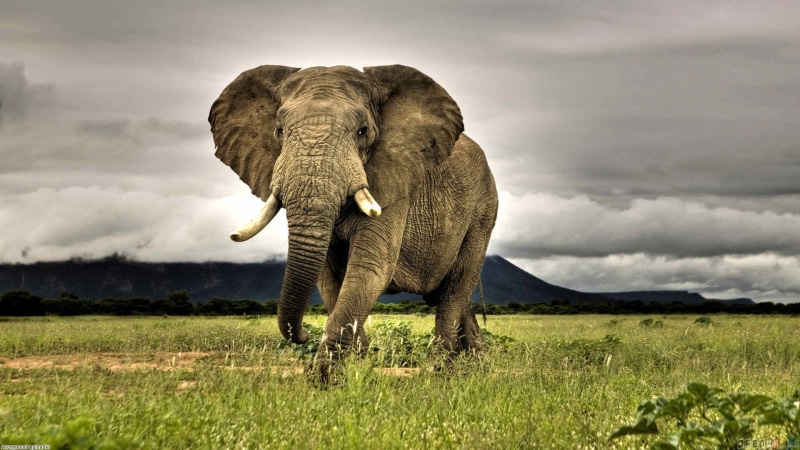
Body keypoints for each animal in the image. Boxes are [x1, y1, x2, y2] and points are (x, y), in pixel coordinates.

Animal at [209, 64, 498, 373]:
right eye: (279, 130)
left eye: (363, 131)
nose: (303, 334)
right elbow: (328, 277)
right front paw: (357, 363)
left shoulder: (393, 182)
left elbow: (370, 267)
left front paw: (325, 376)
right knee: (456, 296)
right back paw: (474, 363)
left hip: (483, 211)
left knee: (456, 288)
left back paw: (440, 369)